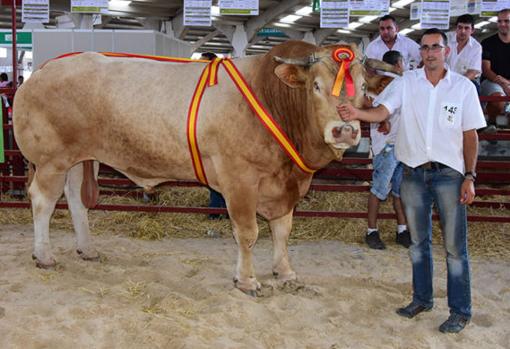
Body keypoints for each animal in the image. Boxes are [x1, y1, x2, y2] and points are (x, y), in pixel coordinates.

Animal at [10, 39, 394, 292]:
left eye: (363, 87)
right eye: (315, 85)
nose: (345, 130)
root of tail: (45, 68)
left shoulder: (286, 184)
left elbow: (282, 229)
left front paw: (285, 273)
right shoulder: (239, 179)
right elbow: (249, 232)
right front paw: (248, 280)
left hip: (79, 158)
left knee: (76, 200)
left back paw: (87, 249)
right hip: (51, 159)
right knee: (43, 201)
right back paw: (43, 255)